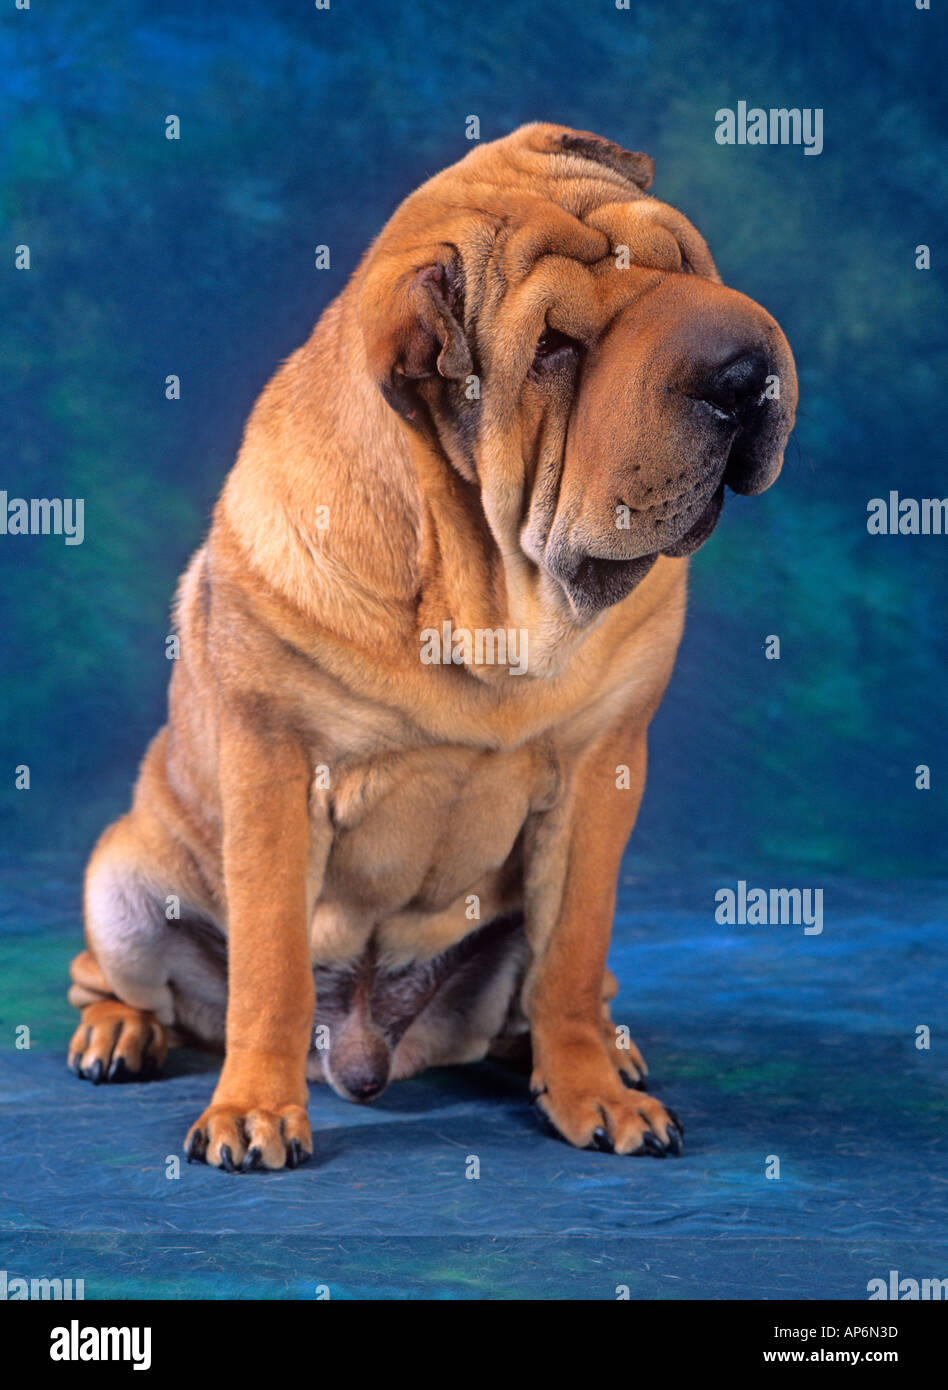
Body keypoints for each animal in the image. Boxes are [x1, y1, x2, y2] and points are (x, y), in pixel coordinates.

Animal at [66, 125, 795, 1167]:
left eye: (681, 263)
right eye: (555, 350)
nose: (739, 371)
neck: (487, 587)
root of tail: (372, 1048)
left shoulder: (600, 771)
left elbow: (572, 955)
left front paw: (592, 1093)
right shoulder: (275, 768)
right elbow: (272, 968)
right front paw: (252, 1111)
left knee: (564, 990)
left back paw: (597, 1050)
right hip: (123, 880)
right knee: (113, 976)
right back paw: (118, 1033)